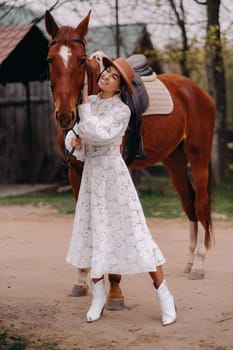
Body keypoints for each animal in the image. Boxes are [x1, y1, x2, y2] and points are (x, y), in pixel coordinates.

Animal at [44, 8, 216, 308]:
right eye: (50, 59)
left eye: (80, 59)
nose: (65, 116)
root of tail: (198, 92)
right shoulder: (75, 171)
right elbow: (84, 221)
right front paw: (81, 280)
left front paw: (114, 290)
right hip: (174, 161)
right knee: (189, 204)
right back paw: (188, 261)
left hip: (199, 157)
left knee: (202, 204)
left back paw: (198, 264)